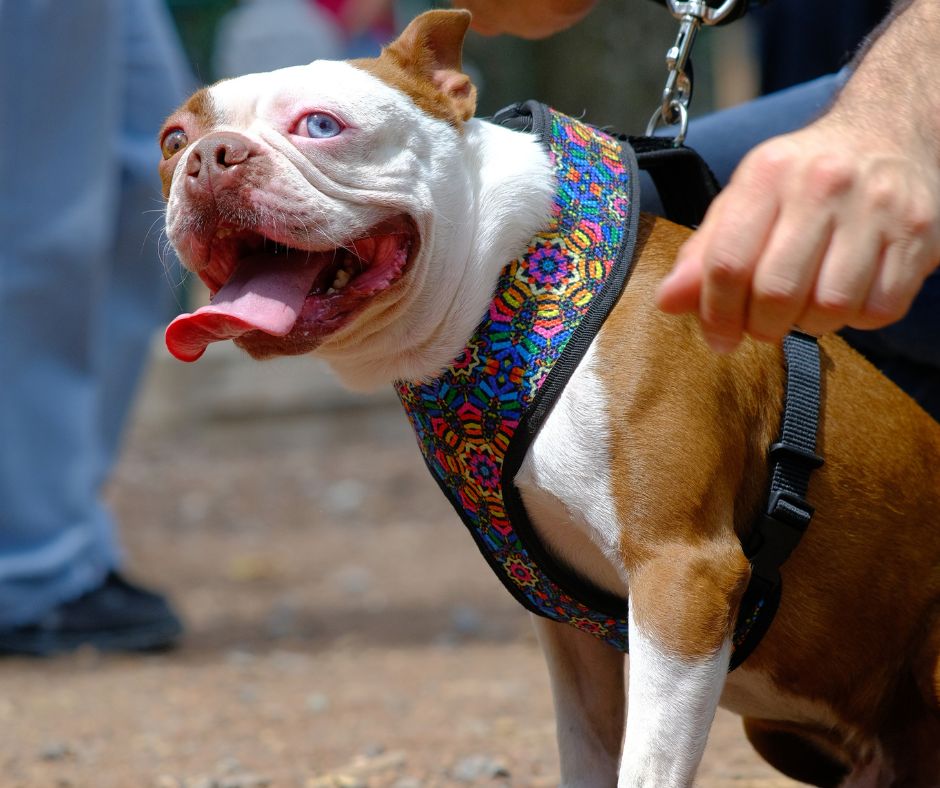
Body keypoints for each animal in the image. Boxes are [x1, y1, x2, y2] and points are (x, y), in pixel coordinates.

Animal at [162, 9, 940, 784]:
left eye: (321, 125)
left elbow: (647, 767)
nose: (211, 157)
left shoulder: (683, 575)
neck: (507, 277)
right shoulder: (574, 635)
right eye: (173, 139)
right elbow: (588, 753)